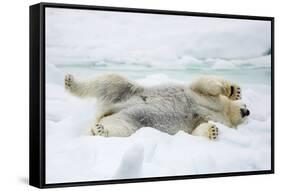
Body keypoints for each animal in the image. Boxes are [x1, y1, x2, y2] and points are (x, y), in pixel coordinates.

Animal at [64, 73, 248, 140]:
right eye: (246, 104)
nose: (247, 111)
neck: (223, 111)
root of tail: (106, 111)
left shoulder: (206, 118)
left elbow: (197, 129)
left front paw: (213, 131)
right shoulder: (204, 97)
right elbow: (204, 85)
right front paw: (234, 90)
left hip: (130, 121)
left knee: (121, 129)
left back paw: (100, 130)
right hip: (126, 92)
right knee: (108, 81)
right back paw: (70, 82)